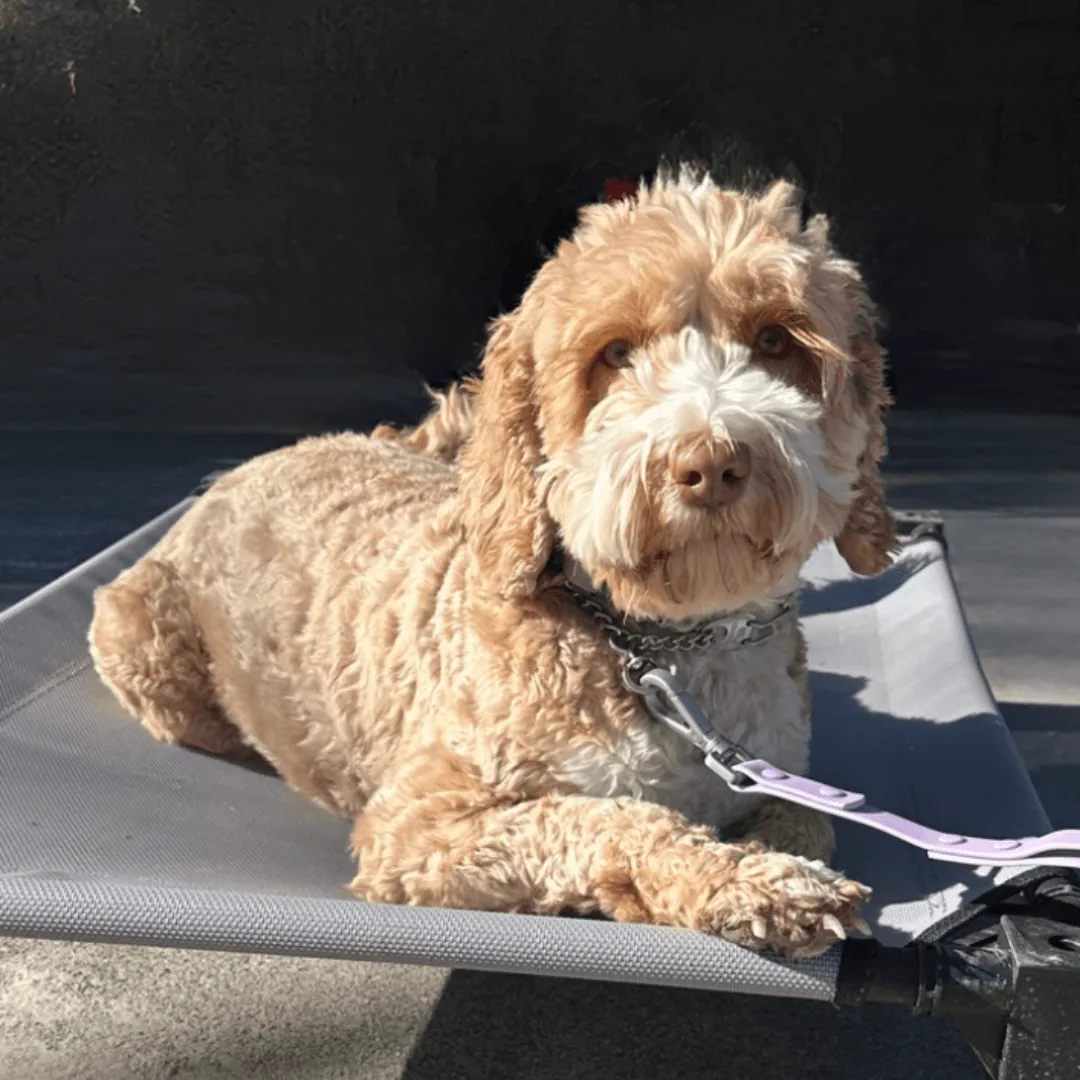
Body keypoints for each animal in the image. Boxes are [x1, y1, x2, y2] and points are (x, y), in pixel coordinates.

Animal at [90, 164, 894, 959]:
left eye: (775, 339)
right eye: (616, 353)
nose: (711, 463)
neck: (658, 644)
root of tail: (235, 472)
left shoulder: (786, 772)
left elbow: (810, 824)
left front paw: (766, 863)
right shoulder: (418, 828)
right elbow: (599, 818)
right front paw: (744, 882)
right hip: (143, 645)